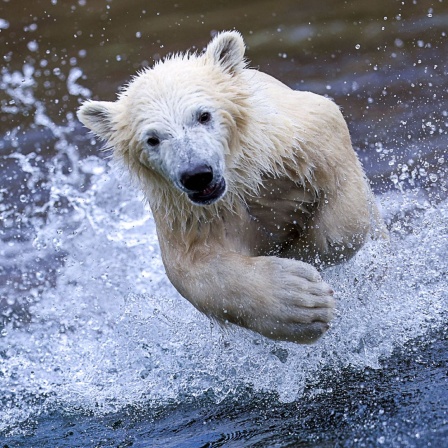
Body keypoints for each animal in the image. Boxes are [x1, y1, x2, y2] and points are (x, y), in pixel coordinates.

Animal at [77, 30, 382, 344]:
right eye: (152, 139)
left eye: (203, 115)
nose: (197, 174)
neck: (243, 178)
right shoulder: (188, 212)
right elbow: (192, 269)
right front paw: (303, 302)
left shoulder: (298, 144)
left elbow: (342, 222)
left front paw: (306, 251)